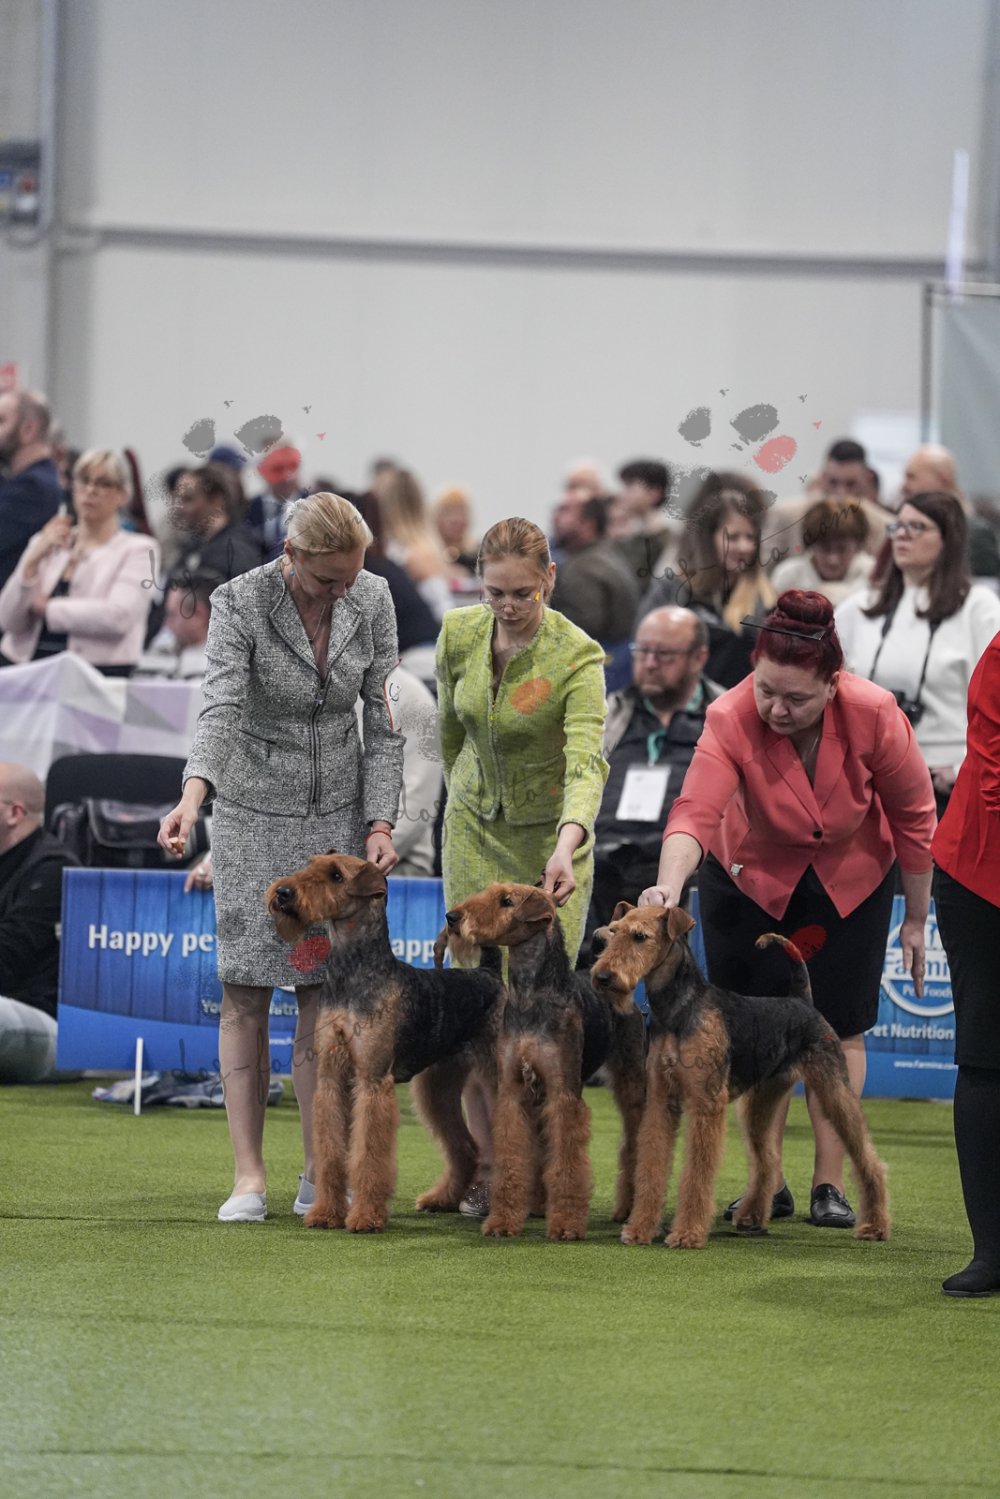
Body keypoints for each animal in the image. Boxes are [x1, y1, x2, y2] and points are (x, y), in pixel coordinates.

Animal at [267, 852, 504, 1232]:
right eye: (310, 864)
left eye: (336, 875)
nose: (283, 892)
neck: (352, 974)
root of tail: (489, 974)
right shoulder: (331, 1079)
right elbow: (331, 1151)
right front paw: (325, 1213)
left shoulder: (372, 1081)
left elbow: (367, 1155)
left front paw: (365, 1217)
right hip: (437, 1087)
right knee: (465, 1147)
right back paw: (440, 1199)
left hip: (499, 1077)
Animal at [441, 883, 646, 1241]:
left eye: (507, 901)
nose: (452, 917)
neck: (530, 996)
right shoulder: (512, 1090)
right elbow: (513, 1155)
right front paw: (502, 1221)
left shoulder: (564, 1096)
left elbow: (567, 1161)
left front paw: (566, 1224)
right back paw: (537, 1203)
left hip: (630, 1084)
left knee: (632, 1147)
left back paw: (627, 1208)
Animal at [590, 903, 890, 1248]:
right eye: (614, 932)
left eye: (640, 936)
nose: (602, 976)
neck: (679, 1008)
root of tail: (802, 1000)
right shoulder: (660, 1100)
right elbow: (651, 1164)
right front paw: (640, 1228)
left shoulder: (706, 1103)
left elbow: (697, 1172)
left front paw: (687, 1233)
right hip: (761, 1101)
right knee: (768, 1159)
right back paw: (752, 1216)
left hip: (834, 1088)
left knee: (868, 1157)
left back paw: (875, 1226)